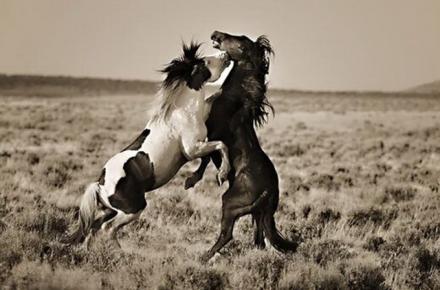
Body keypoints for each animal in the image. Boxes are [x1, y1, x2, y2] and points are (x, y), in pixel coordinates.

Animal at [65, 42, 248, 247]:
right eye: (204, 62)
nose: (226, 55)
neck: (184, 112)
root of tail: (100, 183)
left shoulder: (199, 145)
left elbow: (210, 154)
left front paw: (192, 180)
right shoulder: (192, 149)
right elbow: (221, 145)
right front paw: (222, 174)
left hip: (110, 210)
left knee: (94, 227)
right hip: (133, 208)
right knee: (108, 228)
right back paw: (119, 252)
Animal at [184, 30, 298, 262]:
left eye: (241, 41)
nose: (216, 34)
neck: (234, 98)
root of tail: (270, 191)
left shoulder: (213, 132)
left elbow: (208, 154)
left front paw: (207, 177)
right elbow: (207, 158)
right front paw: (198, 178)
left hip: (230, 203)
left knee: (227, 235)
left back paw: (203, 257)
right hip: (258, 215)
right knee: (260, 242)